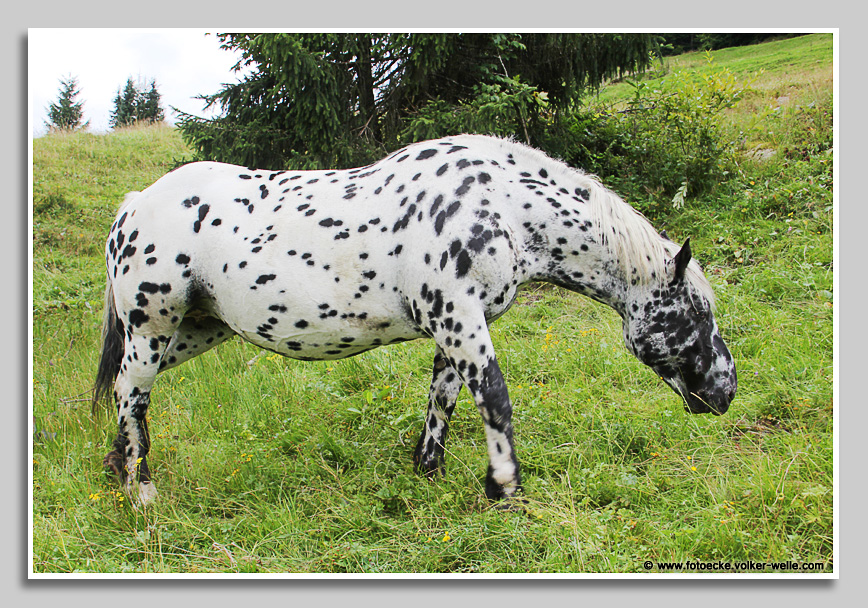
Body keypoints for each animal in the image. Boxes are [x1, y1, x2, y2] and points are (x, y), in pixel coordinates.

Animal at [93, 134, 737, 507]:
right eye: (699, 310)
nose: (725, 391)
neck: (502, 204)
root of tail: (133, 204)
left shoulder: (456, 326)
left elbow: (444, 398)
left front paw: (428, 472)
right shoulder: (459, 318)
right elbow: (495, 399)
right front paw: (504, 488)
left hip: (194, 330)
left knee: (127, 389)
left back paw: (118, 468)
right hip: (153, 327)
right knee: (133, 393)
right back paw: (141, 489)